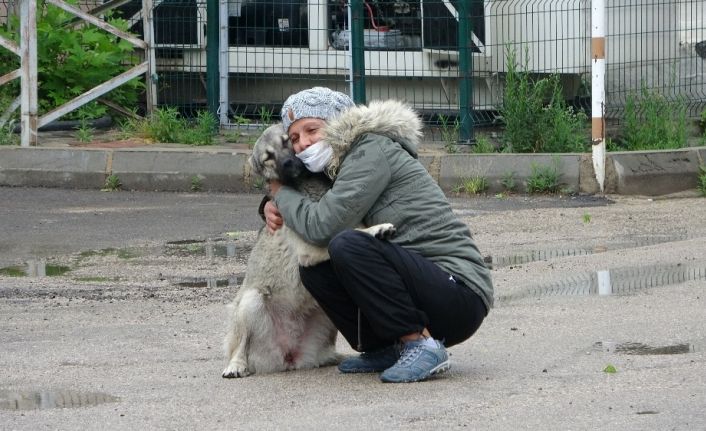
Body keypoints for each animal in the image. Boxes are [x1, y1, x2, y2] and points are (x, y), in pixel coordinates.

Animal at [223, 124, 394, 378]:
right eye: (268, 157)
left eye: (287, 141)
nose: (287, 163)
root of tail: (288, 358)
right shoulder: (308, 249)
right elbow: (349, 232)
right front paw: (378, 229)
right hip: (251, 301)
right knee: (240, 345)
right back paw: (236, 365)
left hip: (325, 318)